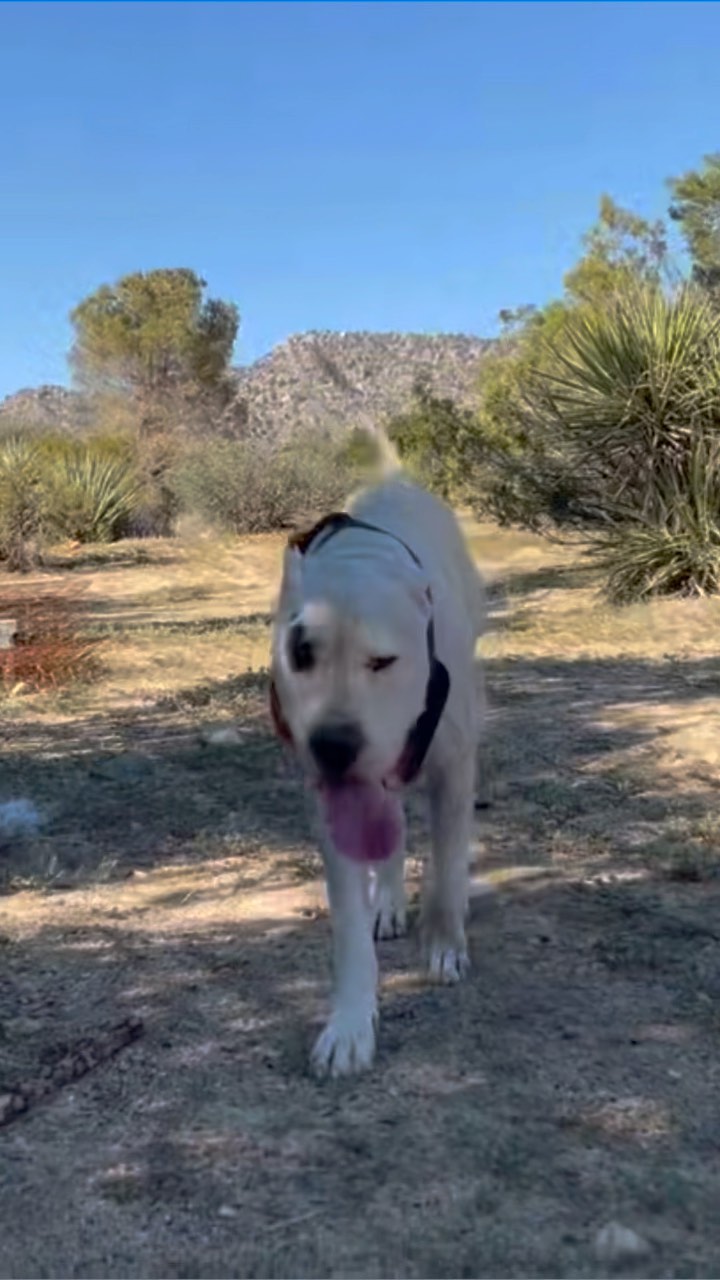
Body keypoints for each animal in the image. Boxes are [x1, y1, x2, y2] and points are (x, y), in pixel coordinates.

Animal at [270, 470, 485, 1077]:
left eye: (384, 661)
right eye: (301, 653)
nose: (333, 743)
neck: (361, 562)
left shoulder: (454, 767)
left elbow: (447, 866)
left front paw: (444, 945)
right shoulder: (332, 802)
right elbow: (348, 917)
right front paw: (349, 1025)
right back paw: (386, 901)